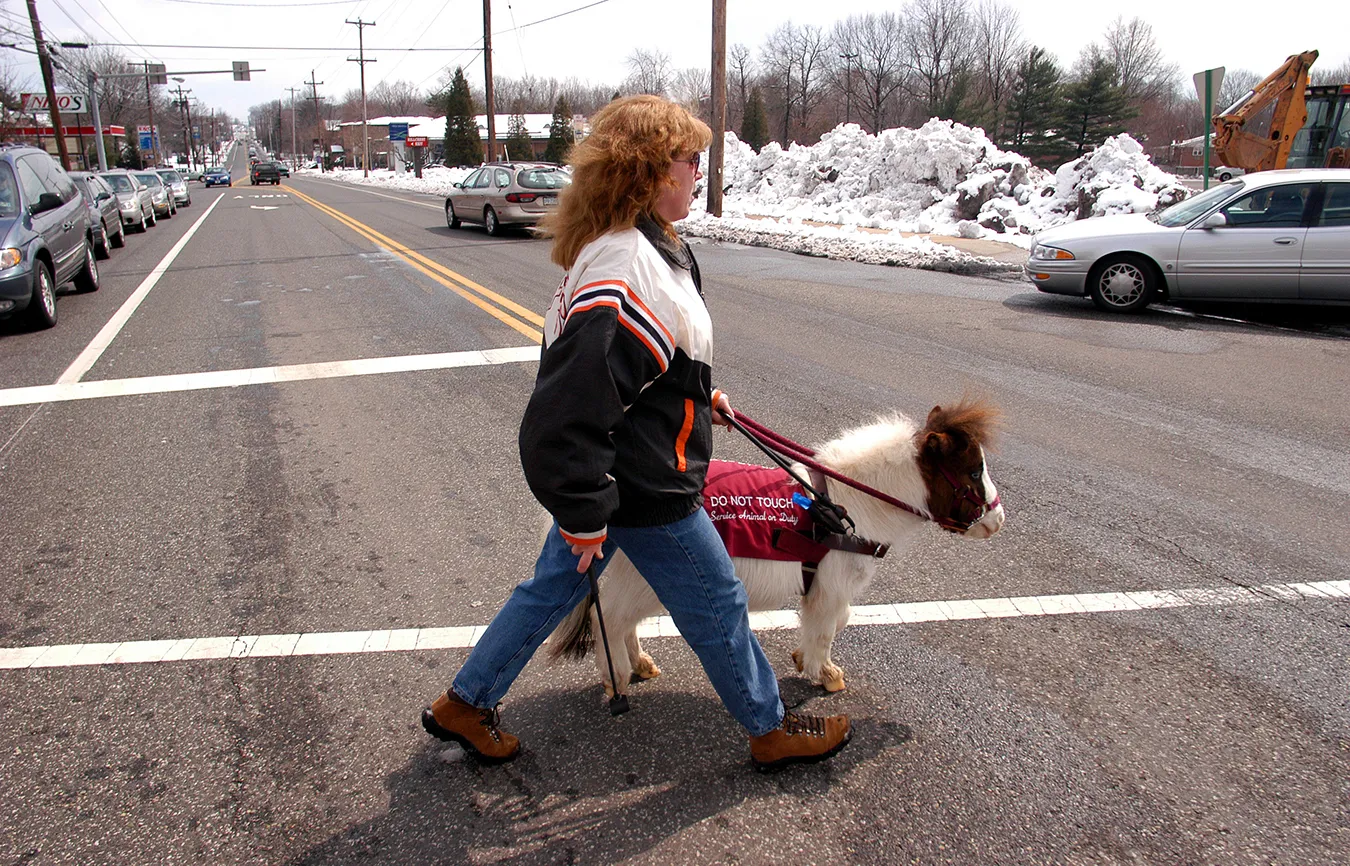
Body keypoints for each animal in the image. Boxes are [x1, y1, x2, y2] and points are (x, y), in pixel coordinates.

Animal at [548, 399, 1004, 697]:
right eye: (974, 471)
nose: (998, 521)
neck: (848, 504)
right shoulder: (831, 588)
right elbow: (828, 627)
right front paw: (826, 673)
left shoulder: (828, 589)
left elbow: (838, 620)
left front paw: (804, 659)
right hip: (645, 579)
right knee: (610, 618)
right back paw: (617, 679)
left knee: (623, 622)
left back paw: (640, 664)